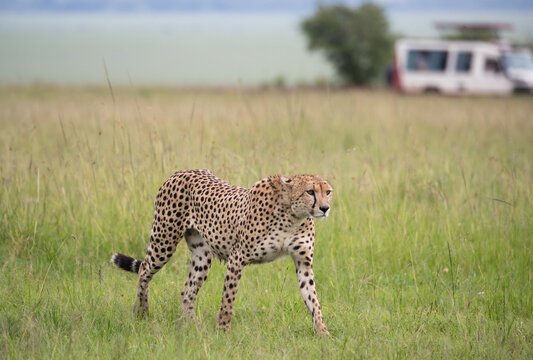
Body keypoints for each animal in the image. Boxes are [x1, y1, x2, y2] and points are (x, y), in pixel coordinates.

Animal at [111, 169, 332, 334]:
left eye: (328, 192)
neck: (292, 216)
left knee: (187, 292)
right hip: (164, 241)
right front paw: (223, 330)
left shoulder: (303, 262)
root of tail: (181, 172)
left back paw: (194, 327)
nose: (325, 208)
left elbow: (313, 299)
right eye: (310, 192)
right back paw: (141, 312)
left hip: (201, 256)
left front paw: (322, 333)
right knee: (144, 270)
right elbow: (228, 298)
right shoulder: (237, 258)